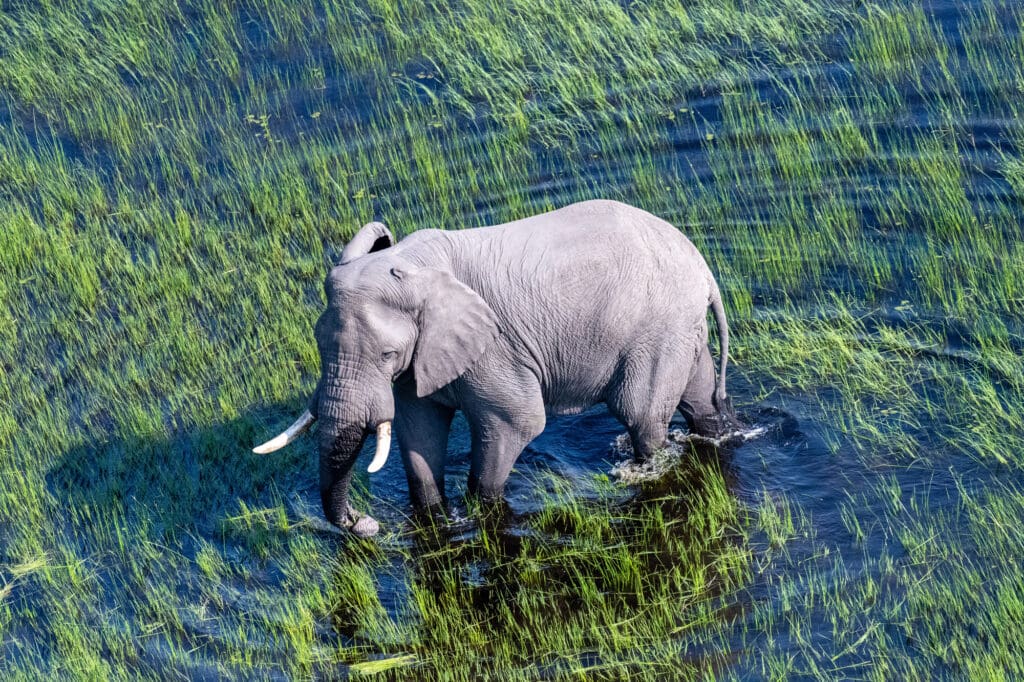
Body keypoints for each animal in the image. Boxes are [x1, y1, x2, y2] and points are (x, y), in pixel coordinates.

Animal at [254, 199, 737, 538]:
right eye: (318, 346)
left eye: (387, 355)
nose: (364, 523)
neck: (413, 263)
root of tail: (703, 268)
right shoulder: (422, 359)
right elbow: (419, 429)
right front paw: (438, 519)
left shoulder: (494, 348)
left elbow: (515, 422)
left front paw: (479, 516)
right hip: (678, 328)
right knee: (697, 399)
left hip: (656, 330)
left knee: (641, 417)